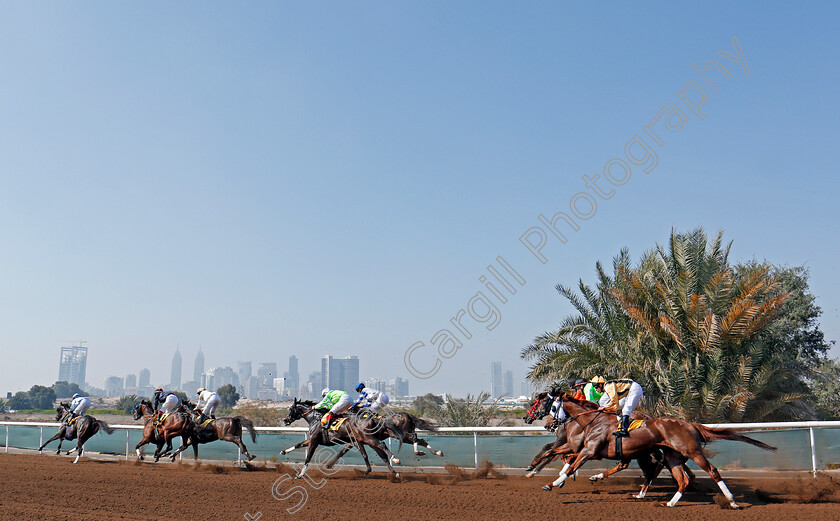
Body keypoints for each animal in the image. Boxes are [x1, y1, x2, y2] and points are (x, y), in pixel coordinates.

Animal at [544, 390, 776, 508]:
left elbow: (571, 465)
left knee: (711, 471)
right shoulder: (588, 451)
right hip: (672, 456)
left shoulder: (589, 451)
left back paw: (732, 501)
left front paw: (553, 483)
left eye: (553, 407)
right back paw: (668, 502)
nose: (549, 425)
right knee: (680, 479)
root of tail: (691, 424)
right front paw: (561, 479)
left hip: (691, 451)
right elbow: (568, 461)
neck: (593, 421)